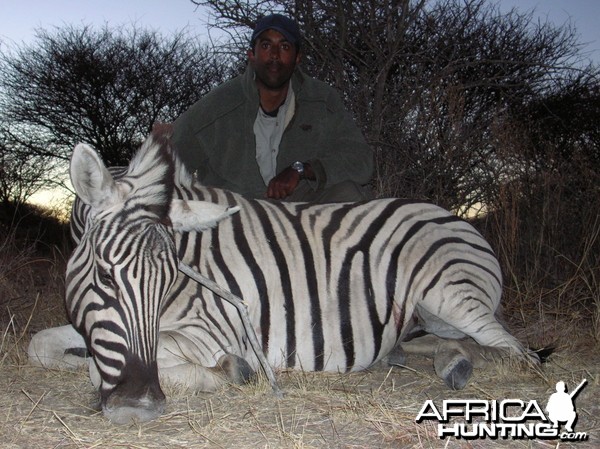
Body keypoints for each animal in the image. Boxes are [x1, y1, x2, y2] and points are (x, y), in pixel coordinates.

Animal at [28, 129, 540, 424]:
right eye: (103, 275)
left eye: (170, 277)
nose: (139, 408)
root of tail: (455, 217)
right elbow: (43, 346)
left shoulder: (214, 332)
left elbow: (105, 364)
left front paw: (232, 371)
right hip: (426, 315)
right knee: (443, 342)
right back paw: (422, 358)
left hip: (451, 295)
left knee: (516, 351)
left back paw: (463, 364)